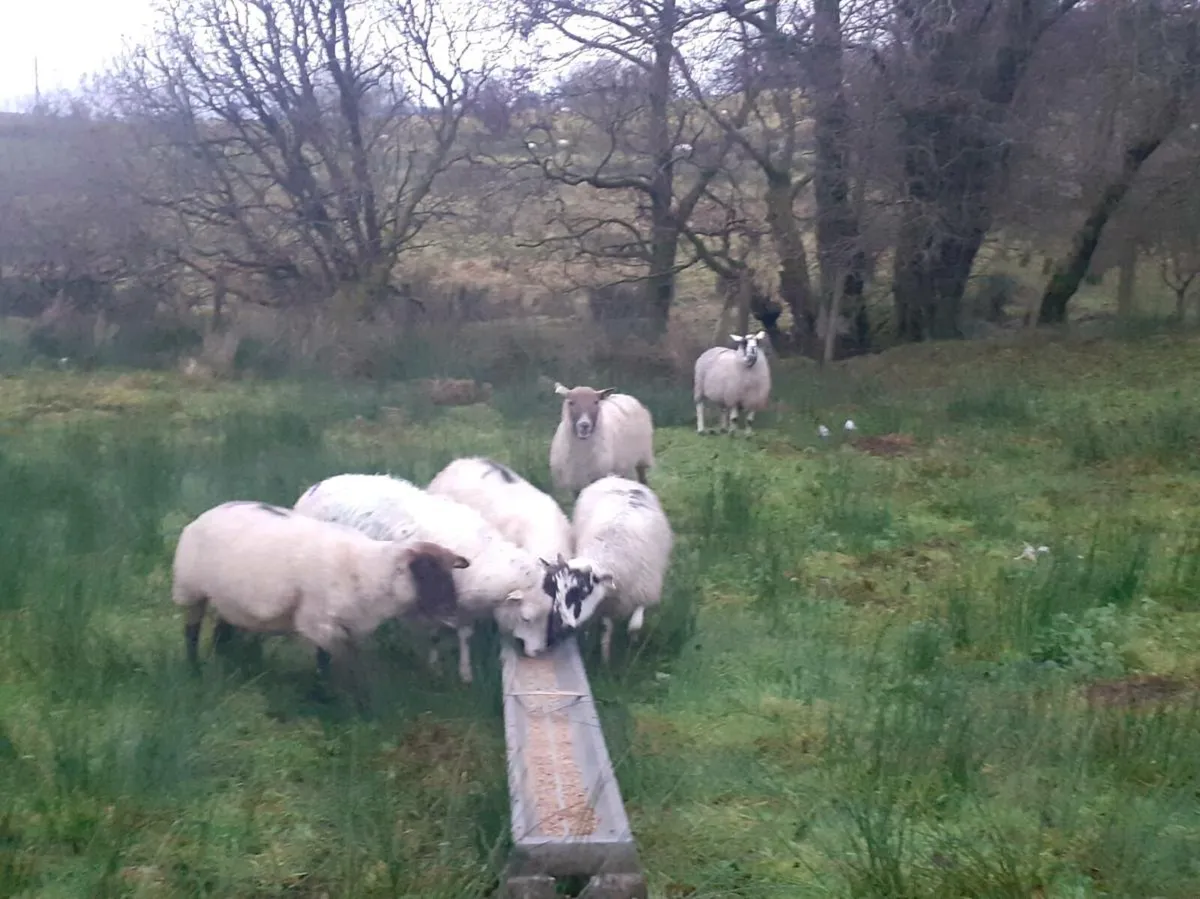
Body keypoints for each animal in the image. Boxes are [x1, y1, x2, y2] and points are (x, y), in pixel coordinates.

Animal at [172, 500, 469, 682]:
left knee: (222, 630)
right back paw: (194, 670)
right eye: (424, 573)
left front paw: (322, 693)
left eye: (450, 574)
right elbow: (348, 669)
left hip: (230, 598)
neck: (367, 570)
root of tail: (207, 514)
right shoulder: (320, 622)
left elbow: (324, 660)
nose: (453, 613)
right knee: (191, 632)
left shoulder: (340, 625)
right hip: (190, 588)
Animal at [293, 473, 556, 683]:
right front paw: (436, 668)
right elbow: (434, 634)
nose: (538, 652)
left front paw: (464, 673)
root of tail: (313, 489)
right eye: (526, 618)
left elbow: (464, 636)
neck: (483, 556)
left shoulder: (460, 605)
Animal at [546, 475, 674, 665]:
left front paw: (632, 648)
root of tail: (618, 478)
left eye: (582, 592)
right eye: (556, 591)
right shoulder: (607, 606)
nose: (555, 630)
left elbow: (634, 626)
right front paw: (606, 660)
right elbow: (606, 630)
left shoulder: (644, 592)